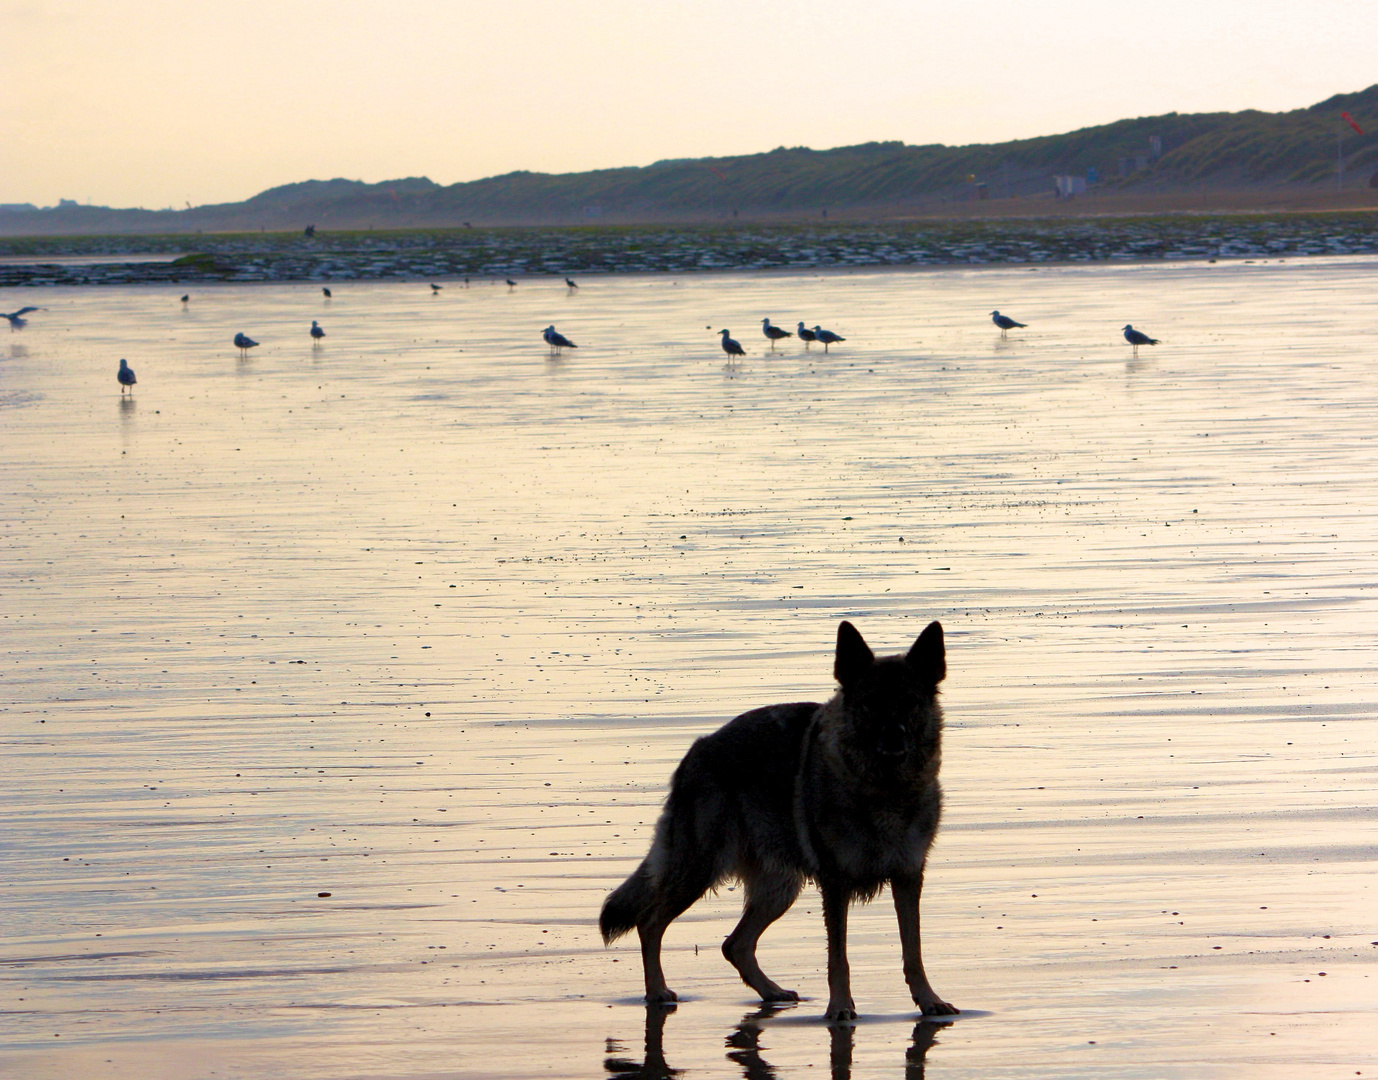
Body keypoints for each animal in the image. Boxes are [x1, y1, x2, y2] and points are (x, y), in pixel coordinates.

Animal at [603, 619, 959, 1019]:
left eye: (910, 702)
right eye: (871, 704)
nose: (894, 738)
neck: (884, 790)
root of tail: (695, 752)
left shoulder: (908, 877)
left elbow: (914, 952)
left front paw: (928, 1000)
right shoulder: (836, 885)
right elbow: (839, 958)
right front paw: (840, 1007)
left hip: (780, 887)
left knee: (734, 944)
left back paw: (770, 991)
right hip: (699, 870)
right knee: (649, 922)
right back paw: (656, 991)